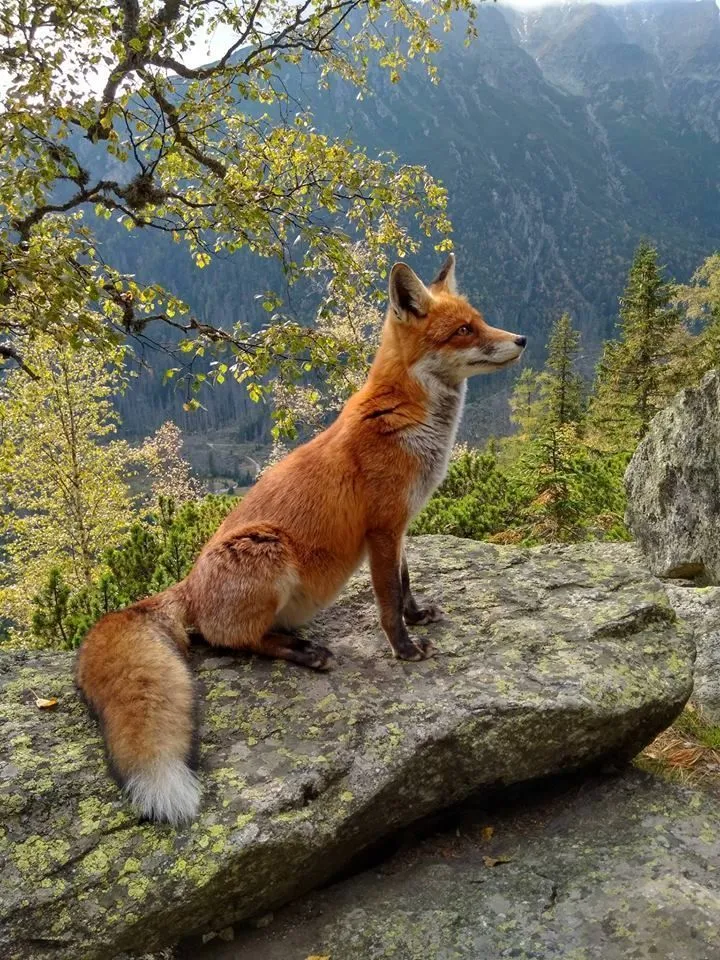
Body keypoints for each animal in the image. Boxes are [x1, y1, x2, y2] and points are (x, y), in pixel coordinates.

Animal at [76, 254, 526, 824]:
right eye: (464, 330)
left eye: (481, 321)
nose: (522, 339)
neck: (406, 422)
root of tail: (187, 586)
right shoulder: (382, 528)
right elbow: (386, 602)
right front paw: (403, 648)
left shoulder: (400, 527)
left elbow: (405, 586)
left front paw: (418, 615)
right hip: (266, 549)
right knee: (233, 642)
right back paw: (306, 652)